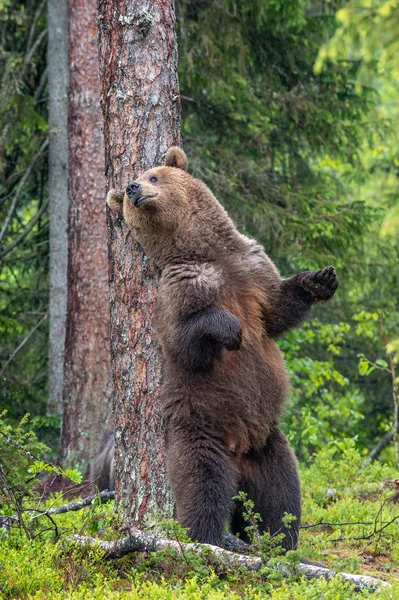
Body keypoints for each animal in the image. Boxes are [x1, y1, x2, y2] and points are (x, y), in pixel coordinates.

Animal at [108, 148, 340, 552]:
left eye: (154, 175)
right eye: (125, 192)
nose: (132, 187)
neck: (208, 254)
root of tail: (239, 452)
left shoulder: (252, 265)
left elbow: (277, 310)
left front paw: (319, 279)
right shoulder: (178, 289)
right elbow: (185, 343)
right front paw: (230, 329)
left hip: (268, 444)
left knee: (281, 496)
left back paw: (280, 543)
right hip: (200, 430)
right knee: (205, 487)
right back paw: (216, 540)